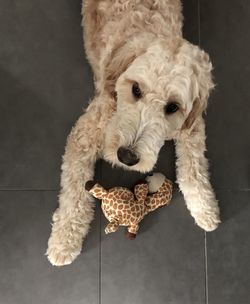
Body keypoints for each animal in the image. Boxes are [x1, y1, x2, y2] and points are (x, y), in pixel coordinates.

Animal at [46, 0, 220, 266]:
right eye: (136, 89)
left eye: (172, 107)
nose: (126, 157)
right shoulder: (85, 134)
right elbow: (74, 193)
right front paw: (65, 240)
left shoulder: (191, 125)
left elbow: (193, 170)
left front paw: (204, 207)